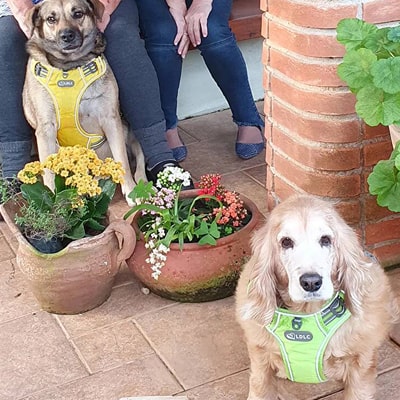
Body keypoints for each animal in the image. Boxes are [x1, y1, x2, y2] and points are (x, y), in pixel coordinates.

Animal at [21, 0, 145, 203]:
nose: (67, 36)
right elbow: (48, 173)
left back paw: (139, 180)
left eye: (78, 13)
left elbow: (123, 162)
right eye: (51, 19)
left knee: (138, 157)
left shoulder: (111, 120)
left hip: (128, 130)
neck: (68, 66)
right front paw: (52, 199)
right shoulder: (45, 129)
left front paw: (131, 190)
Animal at [236, 195, 398, 400]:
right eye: (286, 242)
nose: (311, 282)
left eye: (325, 240)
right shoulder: (260, 357)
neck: (306, 314)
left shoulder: (360, 365)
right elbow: (260, 387)